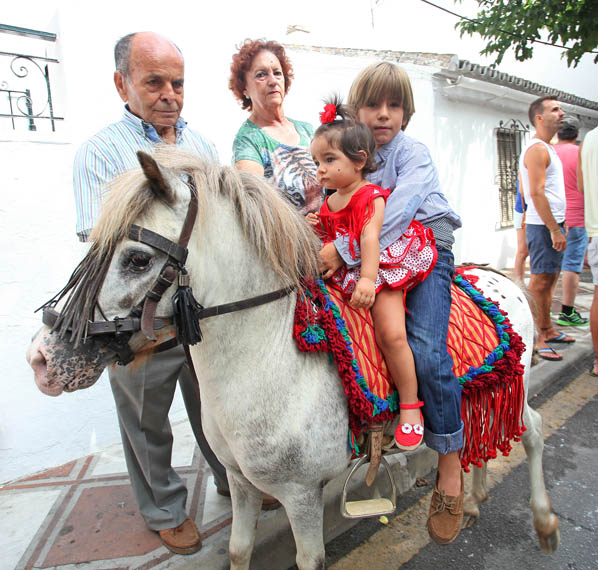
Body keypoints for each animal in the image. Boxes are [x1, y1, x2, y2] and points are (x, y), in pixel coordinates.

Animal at [27, 149, 564, 564]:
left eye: (137, 259)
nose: (42, 358)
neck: (270, 360)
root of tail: (497, 276)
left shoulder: (301, 496)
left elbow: (309, 559)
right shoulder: (242, 485)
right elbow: (239, 550)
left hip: (512, 389)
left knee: (533, 431)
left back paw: (540, 523)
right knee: (475, 434)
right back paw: (471, 501)